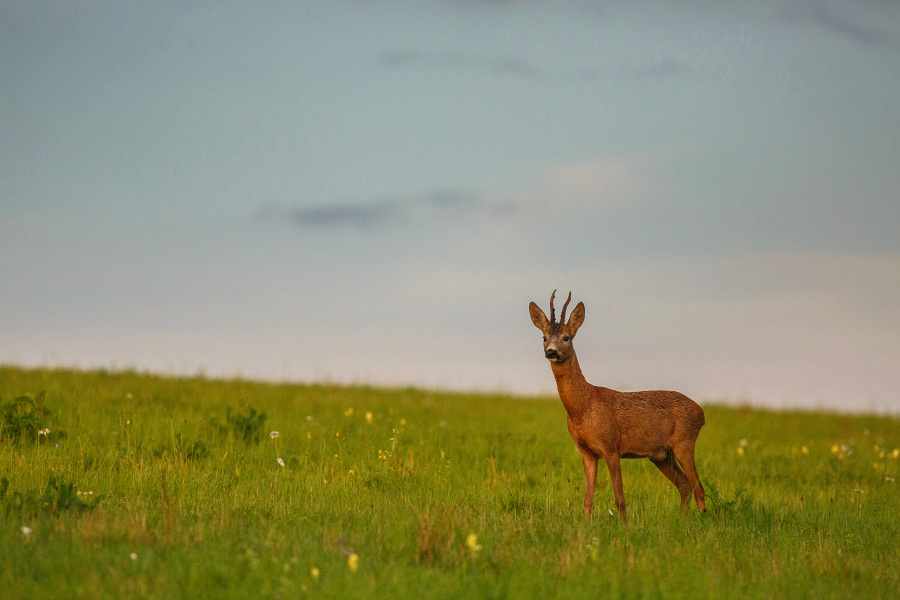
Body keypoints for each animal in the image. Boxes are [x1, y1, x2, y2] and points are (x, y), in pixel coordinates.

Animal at [528, 290, 712, 520]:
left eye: (566, 337)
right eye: (544, 337)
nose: (551, 352)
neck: (582, 407)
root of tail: (701, 412)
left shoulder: (611, 447)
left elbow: (619, 498)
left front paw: (624, 525)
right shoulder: (587, 452)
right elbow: (588, 499)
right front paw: (586, 524)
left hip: (684, 442)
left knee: (699, 488)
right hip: (660, 455)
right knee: (685, 485)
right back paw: (679, 521)